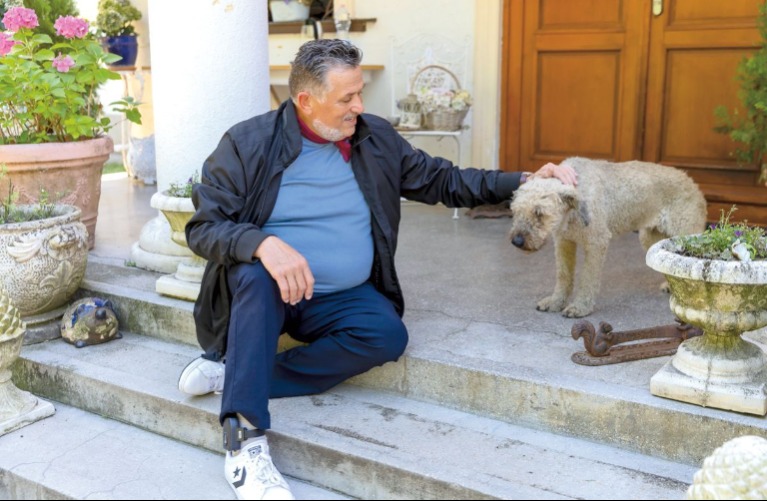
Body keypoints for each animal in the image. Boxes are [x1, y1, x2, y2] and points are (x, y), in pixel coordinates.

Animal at [508, 157, 707, 318]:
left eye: (539, 213)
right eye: (515, 211)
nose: (516, 242)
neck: (572, 212)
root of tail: (693, 184)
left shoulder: (597, 242)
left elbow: (588, 279)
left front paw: (580, 307)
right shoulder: (564, 242)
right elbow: (563, 276)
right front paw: (555, 302)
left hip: (685, 238)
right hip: (650, 238)